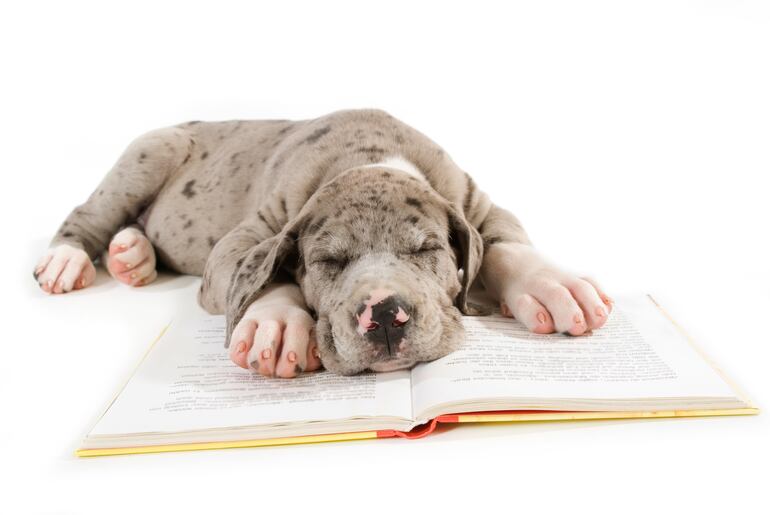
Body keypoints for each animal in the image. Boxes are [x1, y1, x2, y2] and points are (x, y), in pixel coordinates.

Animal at [33, 108, 612, 378]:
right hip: (153, 149)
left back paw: (132, 256)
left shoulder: (476, 202)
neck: (369, 156)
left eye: (426, 250)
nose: (385, 316)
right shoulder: (247, 235)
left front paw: (555, 285)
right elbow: (256, 271)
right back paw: (68, 259)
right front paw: (276, 324)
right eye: (328, 261)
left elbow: (505, 246)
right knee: (90, 212)